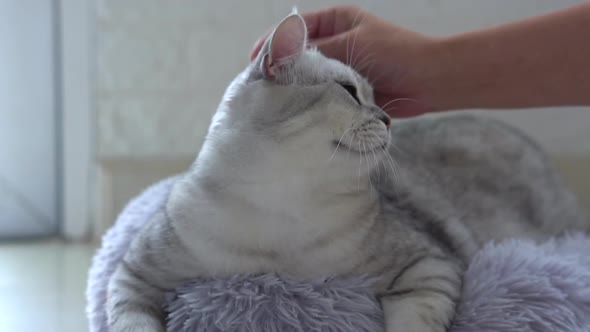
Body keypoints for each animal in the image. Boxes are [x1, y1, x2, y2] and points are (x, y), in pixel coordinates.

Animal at [107, 11, 588, 330]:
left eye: (376, 96)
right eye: (349, 91)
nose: (388, 119)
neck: (280, 210)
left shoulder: (429, 265)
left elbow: (414, 321)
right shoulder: (133, 276)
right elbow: (132, 322)